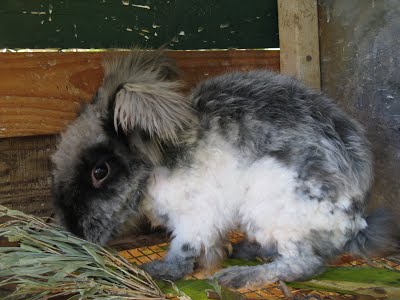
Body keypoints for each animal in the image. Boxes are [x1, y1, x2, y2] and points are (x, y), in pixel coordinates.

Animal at [51, 48, 398, 288]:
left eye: (100, 171)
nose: (74, 231)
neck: (156, 165)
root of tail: (355, 222)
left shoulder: (196, 217)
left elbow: (183, 252)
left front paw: (155, 270)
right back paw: (245, 251)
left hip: (273, 208)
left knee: (304, 263)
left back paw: (239, 276)